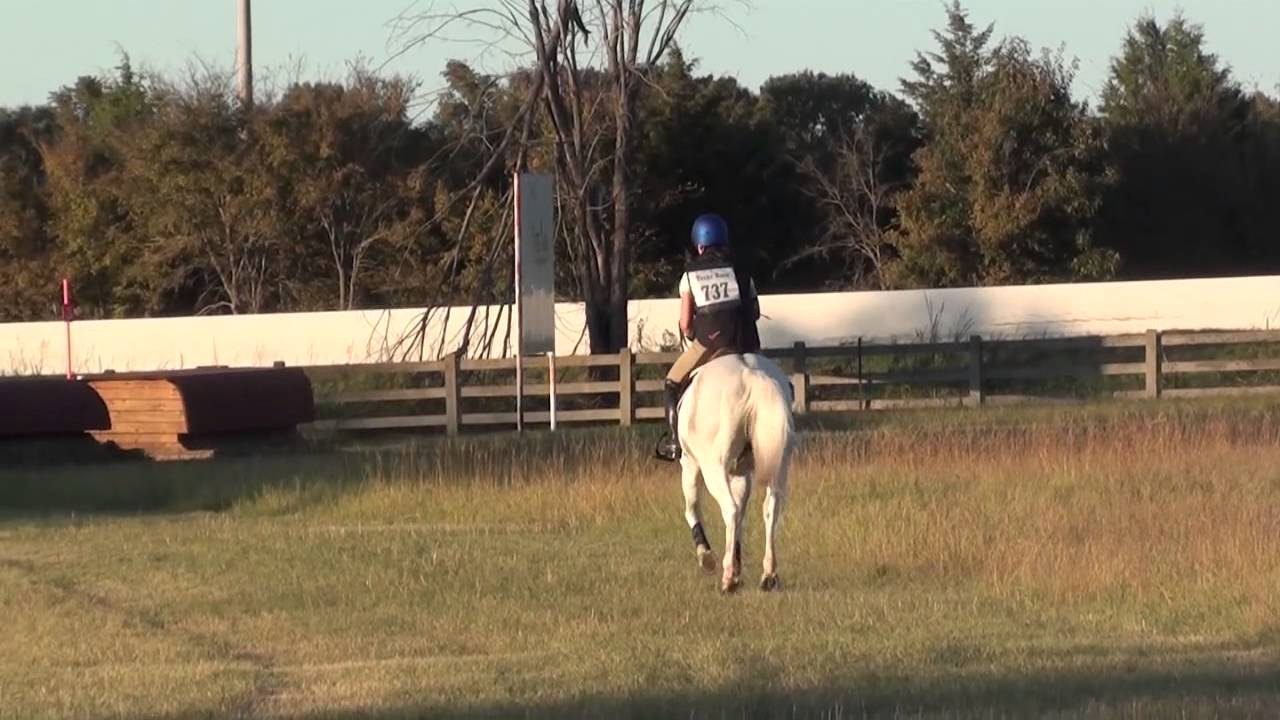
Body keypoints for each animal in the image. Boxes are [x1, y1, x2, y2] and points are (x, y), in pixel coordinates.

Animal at [676, 351, 797, 593]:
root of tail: (750, 374)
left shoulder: (690, 464)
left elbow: (692, 508)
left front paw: (707, 557)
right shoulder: (741, 473)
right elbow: (742, 516)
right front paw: (739, 565)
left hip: (713, 467)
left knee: (729, 509)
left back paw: (728, 578)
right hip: (779, 464)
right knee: (771, 508)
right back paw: (768, 575)